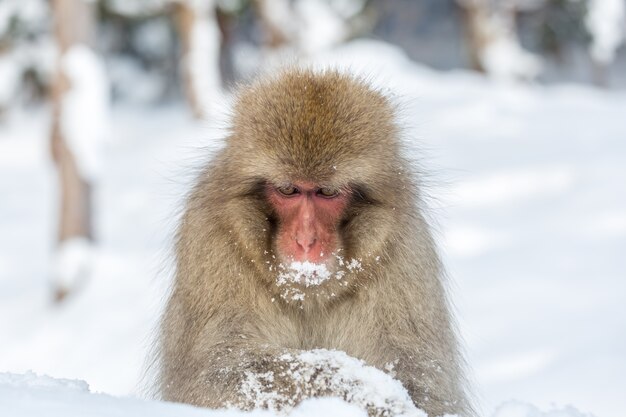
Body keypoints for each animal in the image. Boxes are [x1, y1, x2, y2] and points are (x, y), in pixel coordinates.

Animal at [157, 69, 472, 416]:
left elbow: (425, 383)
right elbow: (216, 370)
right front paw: (362, 390)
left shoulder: (405, 248)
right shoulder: (211, 240)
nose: (306, 240)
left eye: (327, 192)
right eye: (288, 190)